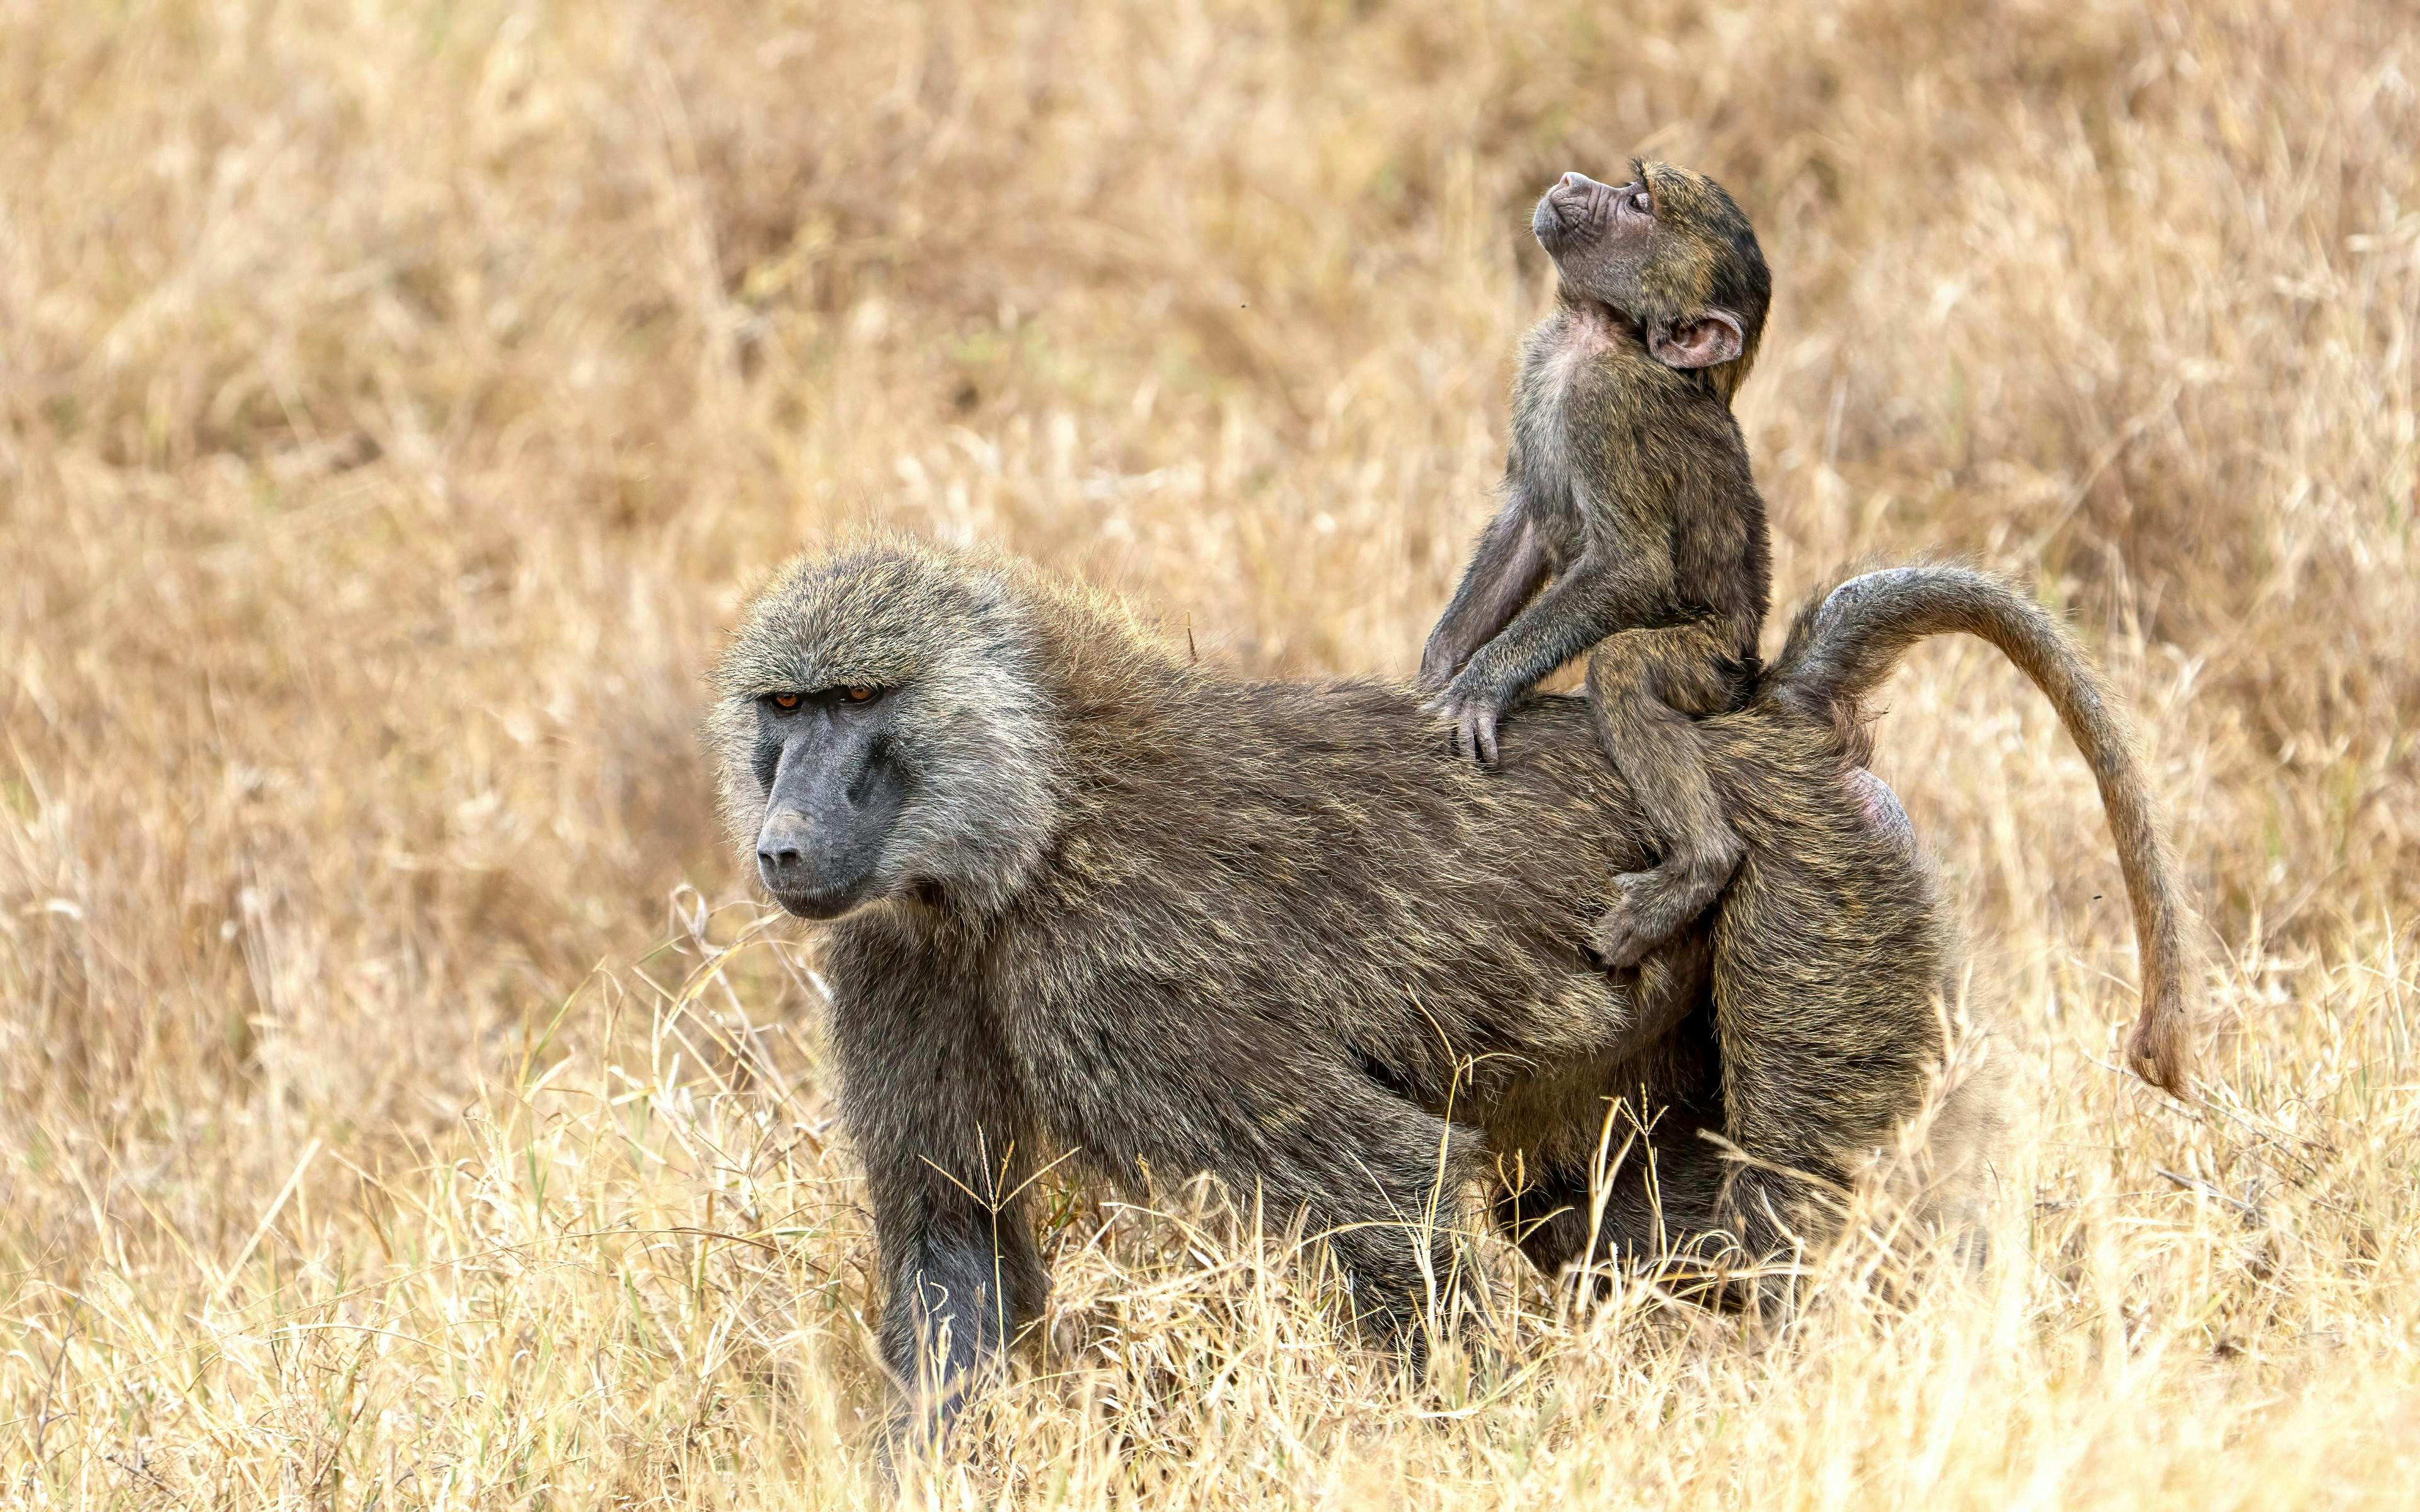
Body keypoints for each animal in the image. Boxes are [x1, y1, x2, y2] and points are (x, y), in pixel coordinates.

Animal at [706, 537, 2197, 1452]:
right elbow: (956, 1254)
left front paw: (1468, 1439)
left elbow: (1391, 1187)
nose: (782, 844)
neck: (1022, 826)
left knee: (1774, 1222)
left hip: (1814, 902)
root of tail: (1770, 721)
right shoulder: (901, 962)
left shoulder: (1127, 980)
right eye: (784, 709)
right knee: (1611, 1231)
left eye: (859, 702)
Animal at [1420, 160, 1775, 977]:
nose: (1572, 178)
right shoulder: (1540, 361)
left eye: (1641, 202)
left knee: (1619, 668)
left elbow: (1631, 569)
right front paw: (1440, 668)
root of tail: (1750, 666)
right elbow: (1527, 522)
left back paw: (1700, 866)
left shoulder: (1608, 408)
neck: (1601, 334)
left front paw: (1481, 687)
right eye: (1629, 183)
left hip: (1709, 666)